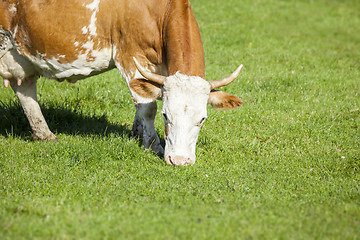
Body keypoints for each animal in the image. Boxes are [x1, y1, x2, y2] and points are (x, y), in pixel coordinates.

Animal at [0, 0, 243, 165]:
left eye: (202, 119)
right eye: (166, 115)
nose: (179, 160)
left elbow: (145, 99)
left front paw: (137, 132)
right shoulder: (129, 55)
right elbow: (147, 105)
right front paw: (153, 144)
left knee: (24, 88)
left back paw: (45, 134)